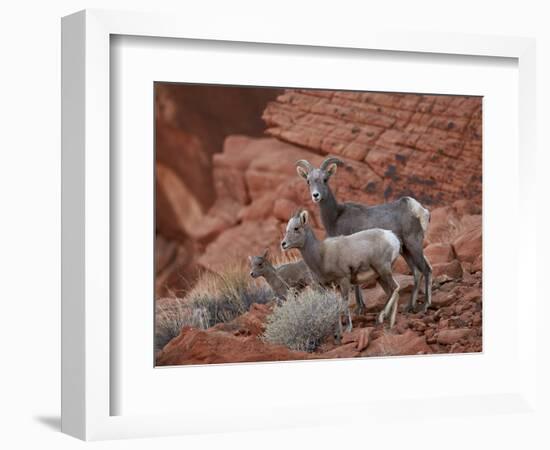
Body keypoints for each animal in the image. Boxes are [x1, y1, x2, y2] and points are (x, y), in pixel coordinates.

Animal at [298, 156, 436, 312]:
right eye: (308, 181)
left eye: (325, 179)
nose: (316, 195)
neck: (336, 216)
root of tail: (419, 210)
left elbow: (356, 285)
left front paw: (359, 308)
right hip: (405, 250)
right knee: (417, 272)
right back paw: (409, 307)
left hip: (414, 244)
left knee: (426, 270)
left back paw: (425, 306)